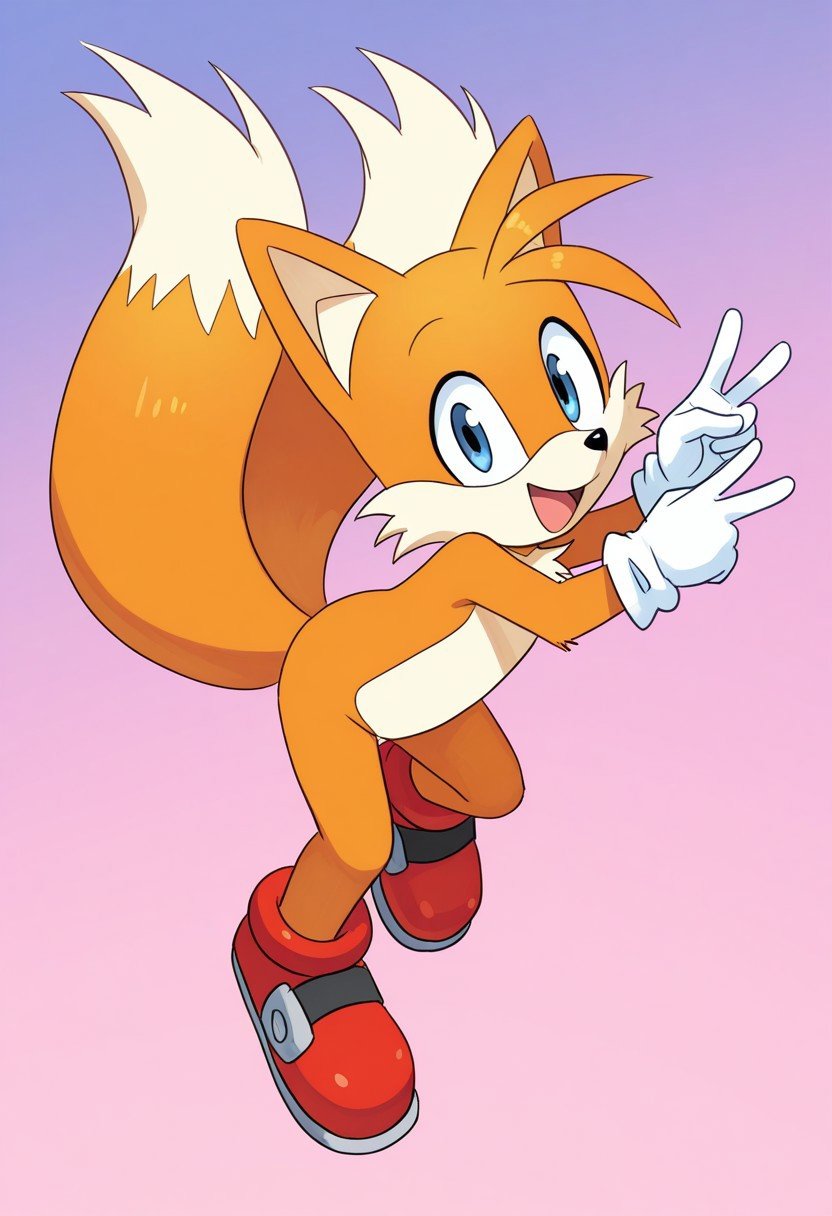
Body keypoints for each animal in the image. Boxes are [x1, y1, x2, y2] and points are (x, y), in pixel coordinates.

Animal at [52, 45, 794, 1153]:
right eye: (469, 431)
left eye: (566, 374)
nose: (587, 443)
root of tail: (310, 631)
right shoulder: (479, 569)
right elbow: (566, 600)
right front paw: (682, 530)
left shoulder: (547, 537)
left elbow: (586, 534)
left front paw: (684, 457)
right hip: (319, 725)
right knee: (346, 848)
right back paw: (307, 983)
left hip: (444, 729)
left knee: (481, 784)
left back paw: (423, 843)